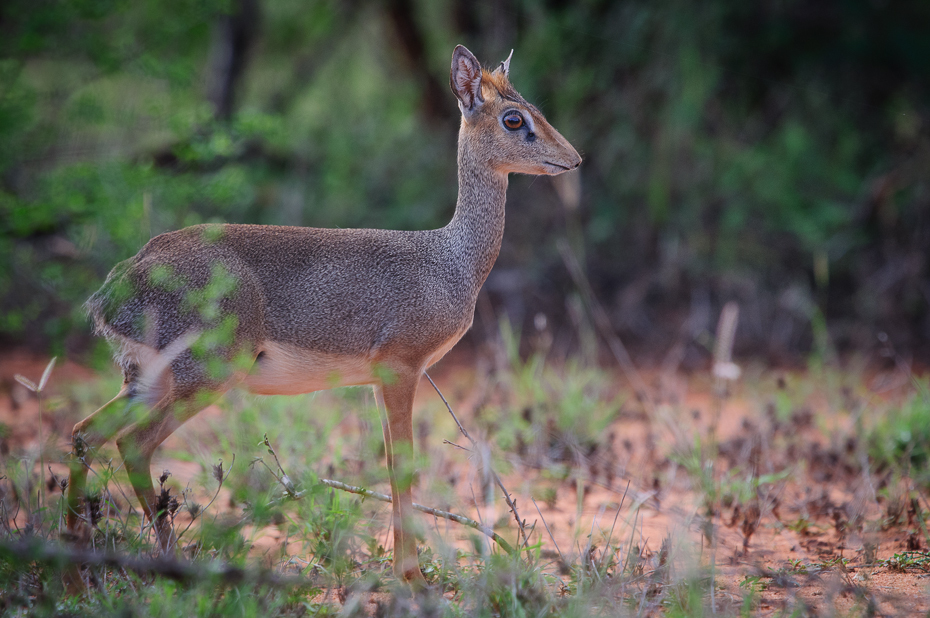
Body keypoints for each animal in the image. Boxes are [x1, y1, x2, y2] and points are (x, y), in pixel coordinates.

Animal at [69, 45, 580, 584]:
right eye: (513, 117)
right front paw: (413, 578)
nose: (573, 159)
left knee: (85, 434)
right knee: (133, 444)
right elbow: (404, 466)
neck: (450, 261)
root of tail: (120, 282)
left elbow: (391, 466)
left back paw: (74, 562)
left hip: (147, 380)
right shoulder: (401, 368)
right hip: (204, 375)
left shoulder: (379, 380)